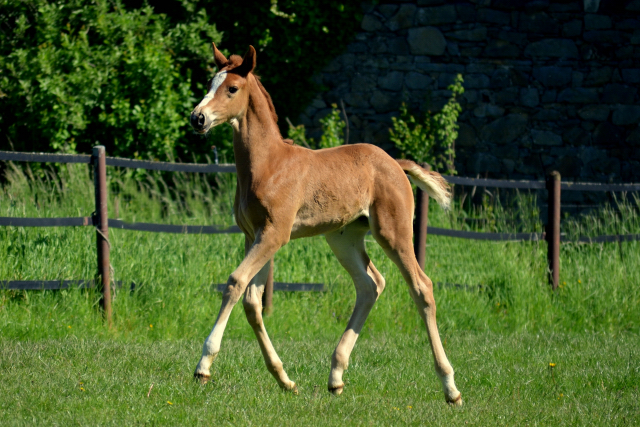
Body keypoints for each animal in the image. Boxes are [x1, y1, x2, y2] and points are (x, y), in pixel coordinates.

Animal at [188, 43, 462, 408]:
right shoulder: (254, 236)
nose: (198, 118)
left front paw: (204, 366)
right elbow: (252, 302)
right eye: (210, 82)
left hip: (393, 232)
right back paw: (336, 376)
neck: (268, 164)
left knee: (422, 287)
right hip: (344, 238)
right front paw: (285, 379)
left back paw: (450, 387)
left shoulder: (274, 234)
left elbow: (235, 283)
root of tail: (396, 163)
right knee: (370, 284)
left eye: (231, 88)